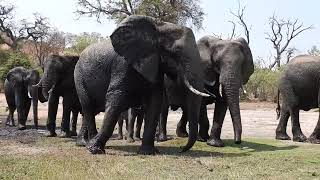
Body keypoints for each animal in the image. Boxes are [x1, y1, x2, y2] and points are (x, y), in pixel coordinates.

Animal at [74, 15, 211, 155]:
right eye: (176, 52)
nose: (181, 149)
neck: (158, 27)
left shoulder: (155, 65)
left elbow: (155, 101)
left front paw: (148, 152)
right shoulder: (122, 64)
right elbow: (116, 97)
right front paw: (95, 150)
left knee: (89, 110)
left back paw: (83, 143)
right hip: (79, 77)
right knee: (88, 106)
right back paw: (89, 144)